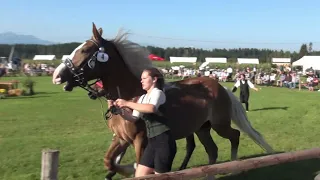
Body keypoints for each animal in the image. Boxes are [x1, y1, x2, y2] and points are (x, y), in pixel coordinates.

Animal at [51, 23, 274, 179]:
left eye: (85, 50)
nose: (57, 75)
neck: (131, 95)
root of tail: (221, 87)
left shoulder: (140, 140)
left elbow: (139, 166)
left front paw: (131, 167)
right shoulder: (121, 138)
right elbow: (109, 161)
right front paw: (122, 169)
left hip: (219, 124)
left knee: (234, 136)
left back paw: (234, 167)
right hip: (202, 128)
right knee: (213, 150)